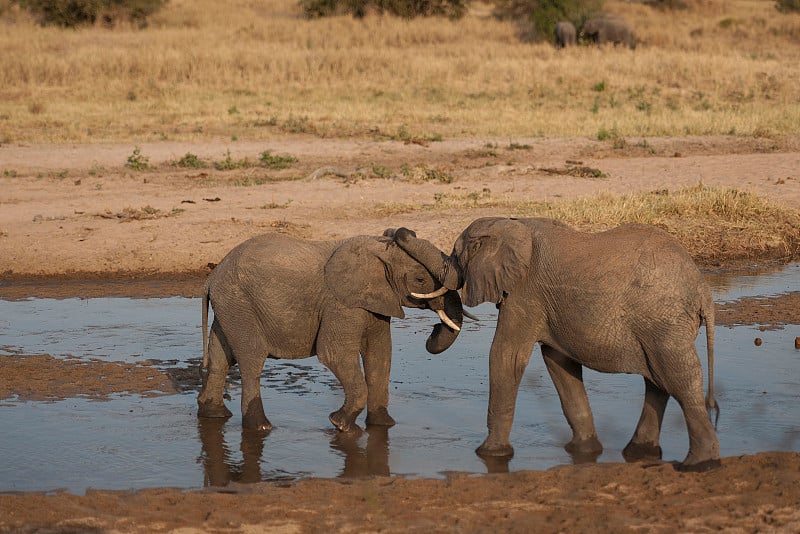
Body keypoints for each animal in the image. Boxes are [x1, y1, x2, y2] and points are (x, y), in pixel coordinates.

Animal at [197, 230, 466, 436]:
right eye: (420, 279)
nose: (433, 330)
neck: (374, 254)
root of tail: (211, 278)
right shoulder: (341, 304)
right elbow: (335, 354)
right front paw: (342, 426)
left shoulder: (376, 303)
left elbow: (380, 356)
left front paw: (384, 426)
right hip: (240, 303)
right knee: (252, 359)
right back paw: (261, 428)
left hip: (230, 306)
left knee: (220, 356)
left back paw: (214, 415)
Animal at [396, 219, 720, 474]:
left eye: (455, 255)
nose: (401, 231)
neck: (511, 224)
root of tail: (702, 288)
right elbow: (559, 364)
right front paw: (584, 450)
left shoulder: (525, 293)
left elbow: (506, 356)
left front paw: (488, 454)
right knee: (658, 381)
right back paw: (639, 453)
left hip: (663, 320)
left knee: (679, 379)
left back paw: (700, 465)